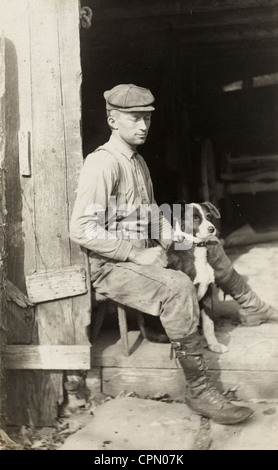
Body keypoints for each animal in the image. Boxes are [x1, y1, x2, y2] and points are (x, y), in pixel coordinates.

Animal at [167, 200, 228, 354]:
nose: (212, 229)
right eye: (194, 218)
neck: (196, 247)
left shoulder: (207, 292)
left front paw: (214, 345)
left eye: (209, 216)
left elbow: (209, 323)